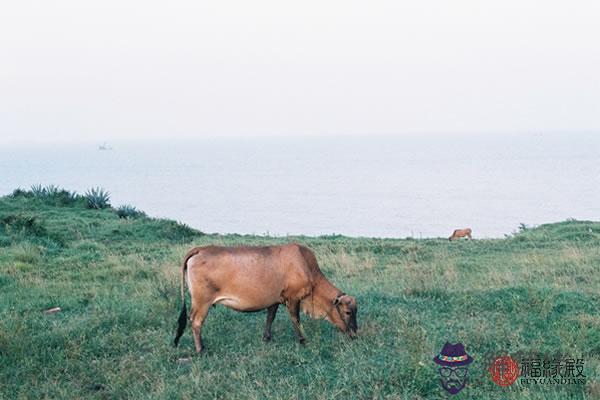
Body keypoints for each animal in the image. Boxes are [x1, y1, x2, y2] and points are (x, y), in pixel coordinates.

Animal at [173, 242, 360, 352]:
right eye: (348, 312)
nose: (355, 334)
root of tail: (200, 249)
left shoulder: (275, 300)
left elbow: (270, 317)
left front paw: (267, 338)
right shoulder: (293, 298)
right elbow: (296, 319)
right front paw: (303, 340)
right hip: (202, 301)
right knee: (196, 321)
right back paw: (200, 349)